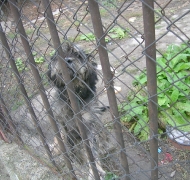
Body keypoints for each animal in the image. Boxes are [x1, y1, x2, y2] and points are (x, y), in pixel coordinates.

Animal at [47, 41, 108, 179]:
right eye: (58, 55)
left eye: (77, 55)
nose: (67, 60)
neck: (72, 98)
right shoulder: (60, 121)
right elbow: (62, 138)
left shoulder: (89, 126)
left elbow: (92, 150)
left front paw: (95, 171)